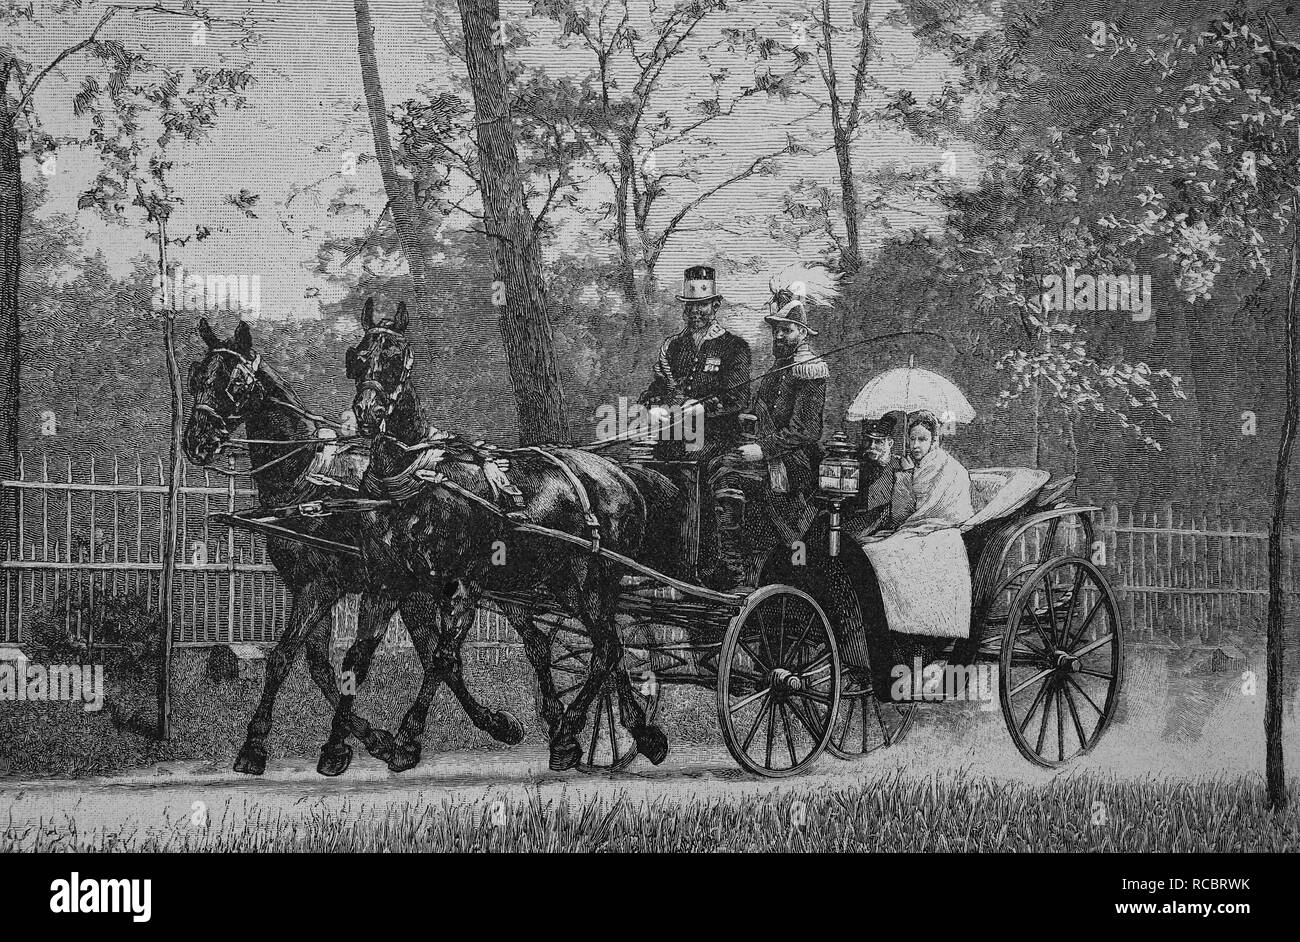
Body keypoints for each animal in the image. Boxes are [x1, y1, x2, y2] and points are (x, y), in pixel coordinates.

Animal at [182, 315, 522, 769]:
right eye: (196, 377)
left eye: (235, 382)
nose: (196, 442)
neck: (307, 476)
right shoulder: (308, 586)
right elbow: (314, 665)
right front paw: (371, 737)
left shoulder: (323, 586)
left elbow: (292, 658)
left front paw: (261, 745)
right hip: (417, 593)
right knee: (442, 656)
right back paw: (488, 724)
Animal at [338, 301, 670, 769]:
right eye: (359, 357)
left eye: (396, 357)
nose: (367, 413)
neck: (414, 480)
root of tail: (620, 473)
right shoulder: (387, 584)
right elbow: (358, 659)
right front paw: (336, 746)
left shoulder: (463, 584)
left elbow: (441, 657)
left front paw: (405, 737)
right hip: (566, 585)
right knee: (606, 648)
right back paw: (633, 731)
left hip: (590, 582)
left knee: (605, 648)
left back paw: (572, 729)